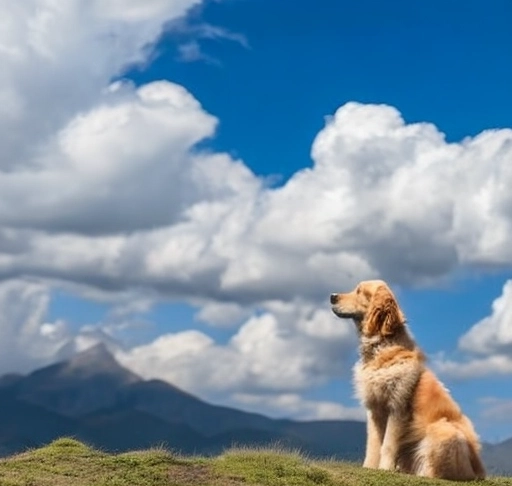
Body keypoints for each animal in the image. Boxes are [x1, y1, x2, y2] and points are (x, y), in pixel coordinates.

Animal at [330, 280, 486, 480]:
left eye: (360, 291)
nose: (332, 296)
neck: (381, 347)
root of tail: (478, 471)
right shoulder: (374, 409)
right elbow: (373, 445)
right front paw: (369, 467)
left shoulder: (397, 407)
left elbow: (388, 445)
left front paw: (385, 469)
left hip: (443, 430)